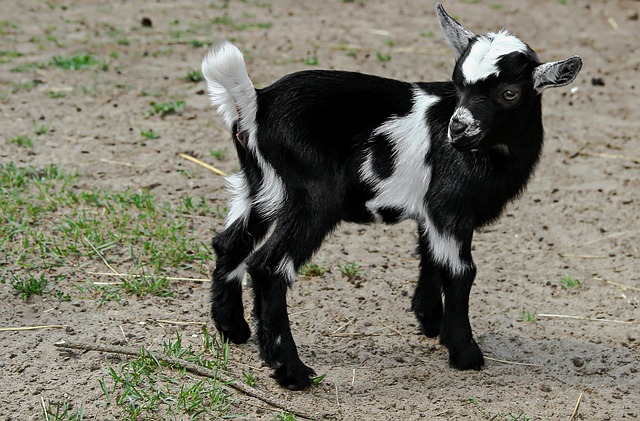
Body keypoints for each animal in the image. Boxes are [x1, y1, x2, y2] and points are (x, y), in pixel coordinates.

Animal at [202, 4, 584, 390]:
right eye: (458, 83)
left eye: (510, 93)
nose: (458, 129)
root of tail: (257, 104)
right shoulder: (450, 208)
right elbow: (460, 271)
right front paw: (465, 353)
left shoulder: (433, 210)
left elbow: (430, 256)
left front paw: (430, 321)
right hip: (312, 197)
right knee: (268, 267)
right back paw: (291, 371)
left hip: (261, 185)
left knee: (229, 242)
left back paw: (233, 329)